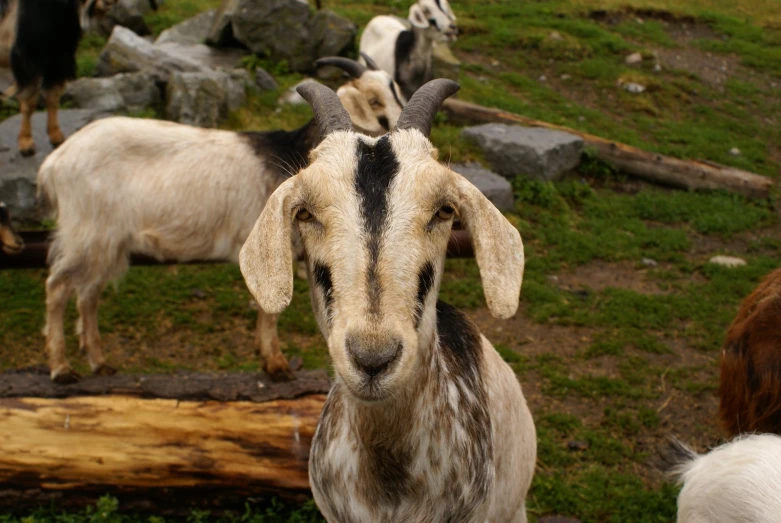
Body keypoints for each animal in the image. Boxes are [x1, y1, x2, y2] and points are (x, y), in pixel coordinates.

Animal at [37, 58, 406, 384]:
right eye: (373, 101)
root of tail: (54, 164)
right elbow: (271, 307)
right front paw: (276, 365)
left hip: (108, 243)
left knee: (88, 295)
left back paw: (99, 362)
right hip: (86, 234)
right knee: (57, 288)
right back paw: (60, 368)